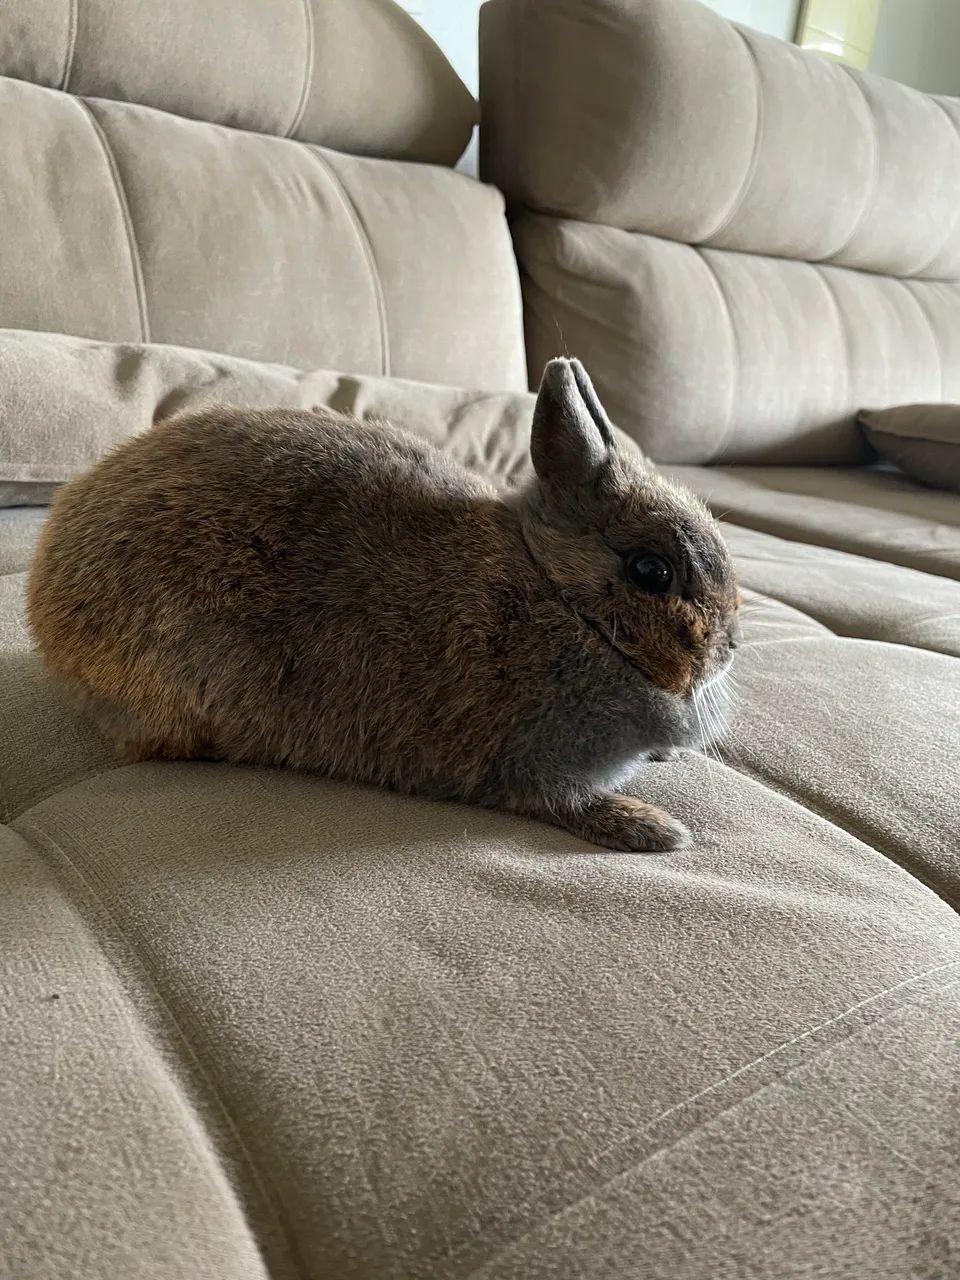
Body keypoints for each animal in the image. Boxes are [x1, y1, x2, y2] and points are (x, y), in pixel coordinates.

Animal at [28, 358, 740, 852]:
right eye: (651, 570)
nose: (730, 647)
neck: (564, 601)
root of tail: (44, 593)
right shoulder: (532, 763)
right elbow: (565, 803)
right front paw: (658, 831)